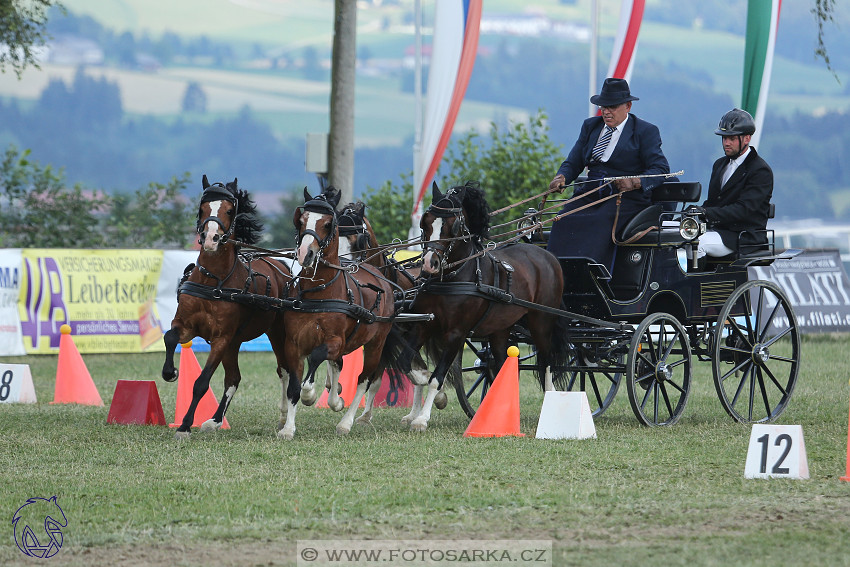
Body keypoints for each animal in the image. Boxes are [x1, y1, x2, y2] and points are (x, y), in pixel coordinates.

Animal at [162, 175, 294, 442]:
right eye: (202, 208)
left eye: (230, 210)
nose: (211, 238)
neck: (214, 281)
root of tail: (281, 266)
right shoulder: (186, 326)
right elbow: (170, 336)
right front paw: (170, 372)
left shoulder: (220, 338)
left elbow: (201, 382)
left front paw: (184, 426)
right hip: (235, 342)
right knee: (234, 378)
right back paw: (214, 421)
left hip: (275, 332)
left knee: (284, 370)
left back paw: (284, 418)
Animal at [282, 186, 404, 440]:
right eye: (301, 220)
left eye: (328, 223)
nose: (305, 253)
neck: (319, 293)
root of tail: (379, 275)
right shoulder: (293, 344)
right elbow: (294, 386)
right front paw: (288, 428)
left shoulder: (335, 341)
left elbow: (316, 360)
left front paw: (311, 395)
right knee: (339, 366)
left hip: (377, 343)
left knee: (364, 379)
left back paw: (345, 423)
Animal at [400, 182, 568, 430]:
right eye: (425, 222)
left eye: (454, 225)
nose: (430, 264)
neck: (453, 278)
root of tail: (547, 255)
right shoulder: (423, 325)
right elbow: (407, 363)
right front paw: (427, 386)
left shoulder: (456, 334)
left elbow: (436, 378)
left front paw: (422, 417)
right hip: (500, 329)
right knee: (500, 365)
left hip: (541, 322)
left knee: (546, 362)